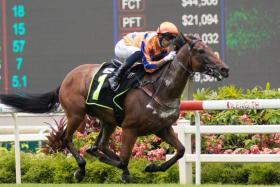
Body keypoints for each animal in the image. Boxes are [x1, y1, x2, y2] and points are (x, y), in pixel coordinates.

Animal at [0, 34, 230, 183]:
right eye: (200, 50)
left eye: (210, 48)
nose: (224, 69)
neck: (160, 89)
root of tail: (67, 78)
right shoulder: (130, 128)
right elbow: (124, 159)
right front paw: (125, 171)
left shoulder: (162, 128)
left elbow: (181, 151)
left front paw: (152, 166)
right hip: (76, 114)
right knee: (67, 139)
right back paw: (80, 169)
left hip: (107, 121)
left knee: (98, 144)